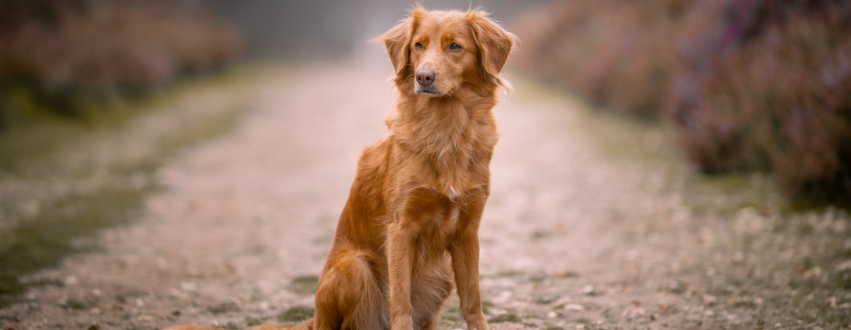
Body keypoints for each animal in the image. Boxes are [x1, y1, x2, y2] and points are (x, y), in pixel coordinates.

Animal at [165, 7, 512, 330]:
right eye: (418, 45)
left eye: (455, 46)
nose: (423, 76)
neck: (446, 129)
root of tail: (315, 318)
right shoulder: (400, 229)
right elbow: (401, 303)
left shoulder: (468, 231)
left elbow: (473, 301)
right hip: (356, 266)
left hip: (441, 274)